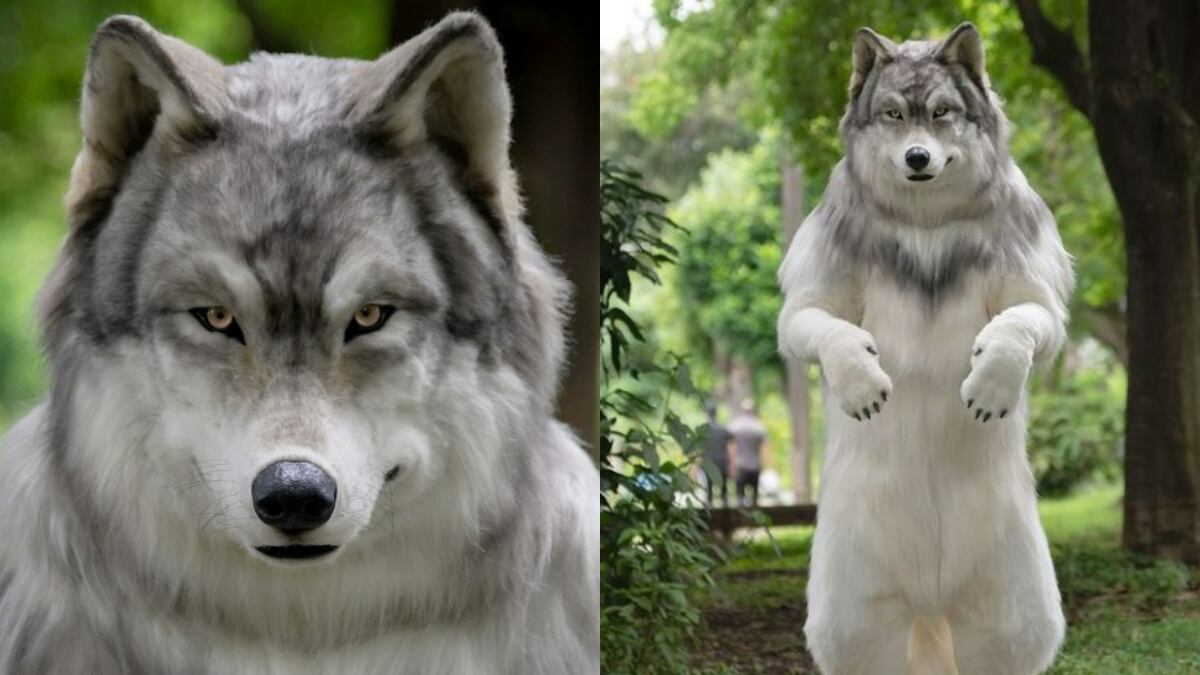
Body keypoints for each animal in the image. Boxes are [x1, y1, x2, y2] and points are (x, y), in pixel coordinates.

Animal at [777, 23, 1073, 675]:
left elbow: (1019, 323)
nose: (918, 158)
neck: (926, 225)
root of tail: (932, 603)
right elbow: (825, 327)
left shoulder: (1035, 297)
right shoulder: (809, 303)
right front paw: (860, 381)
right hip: (854, 621)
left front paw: (992, 381)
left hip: (1010, 616)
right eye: (893, 114)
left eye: (941, 113)